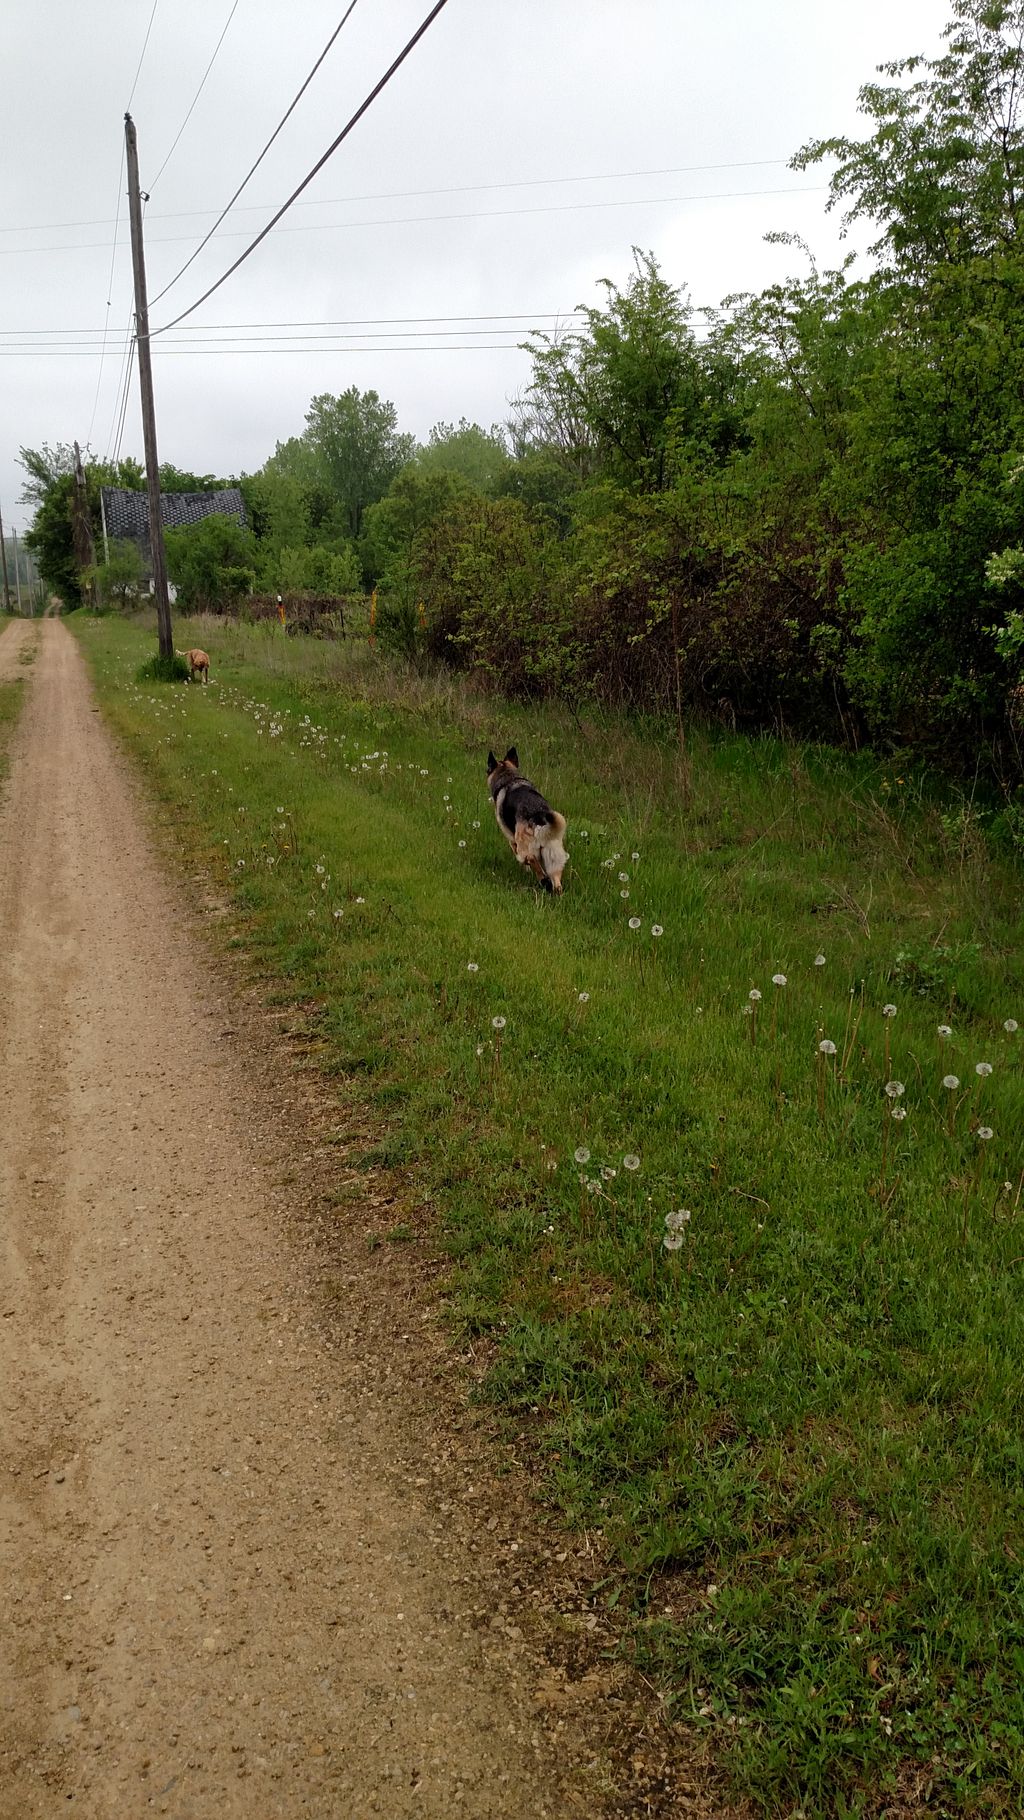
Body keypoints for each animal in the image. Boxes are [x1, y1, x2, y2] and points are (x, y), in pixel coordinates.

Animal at [487, 746, 567, 895]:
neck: (509, 777)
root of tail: (539, 816)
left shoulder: (511, 839)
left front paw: (526, 870)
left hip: (524, 845)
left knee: (531, 859)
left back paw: (543, 879)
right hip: (554, 856)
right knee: (557, 883)